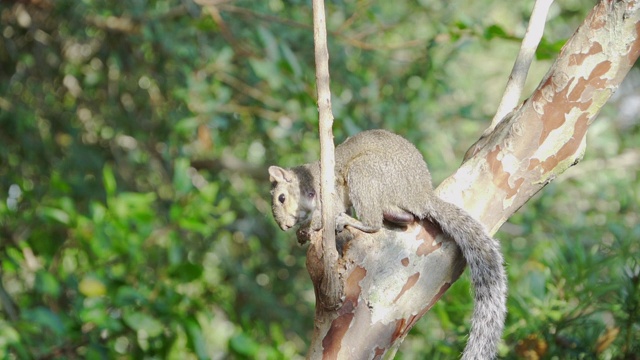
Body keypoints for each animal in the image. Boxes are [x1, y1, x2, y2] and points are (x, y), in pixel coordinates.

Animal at [268, 129, 508, 360]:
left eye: (281, 198)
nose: (284, 226)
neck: (308, 182)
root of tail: (421, 195)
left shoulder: (328, 195)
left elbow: (326, 215)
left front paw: (309, 228)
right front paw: (303, 232)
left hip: (365, 173)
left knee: (374, 223)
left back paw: (356, 222)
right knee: (404, 217)